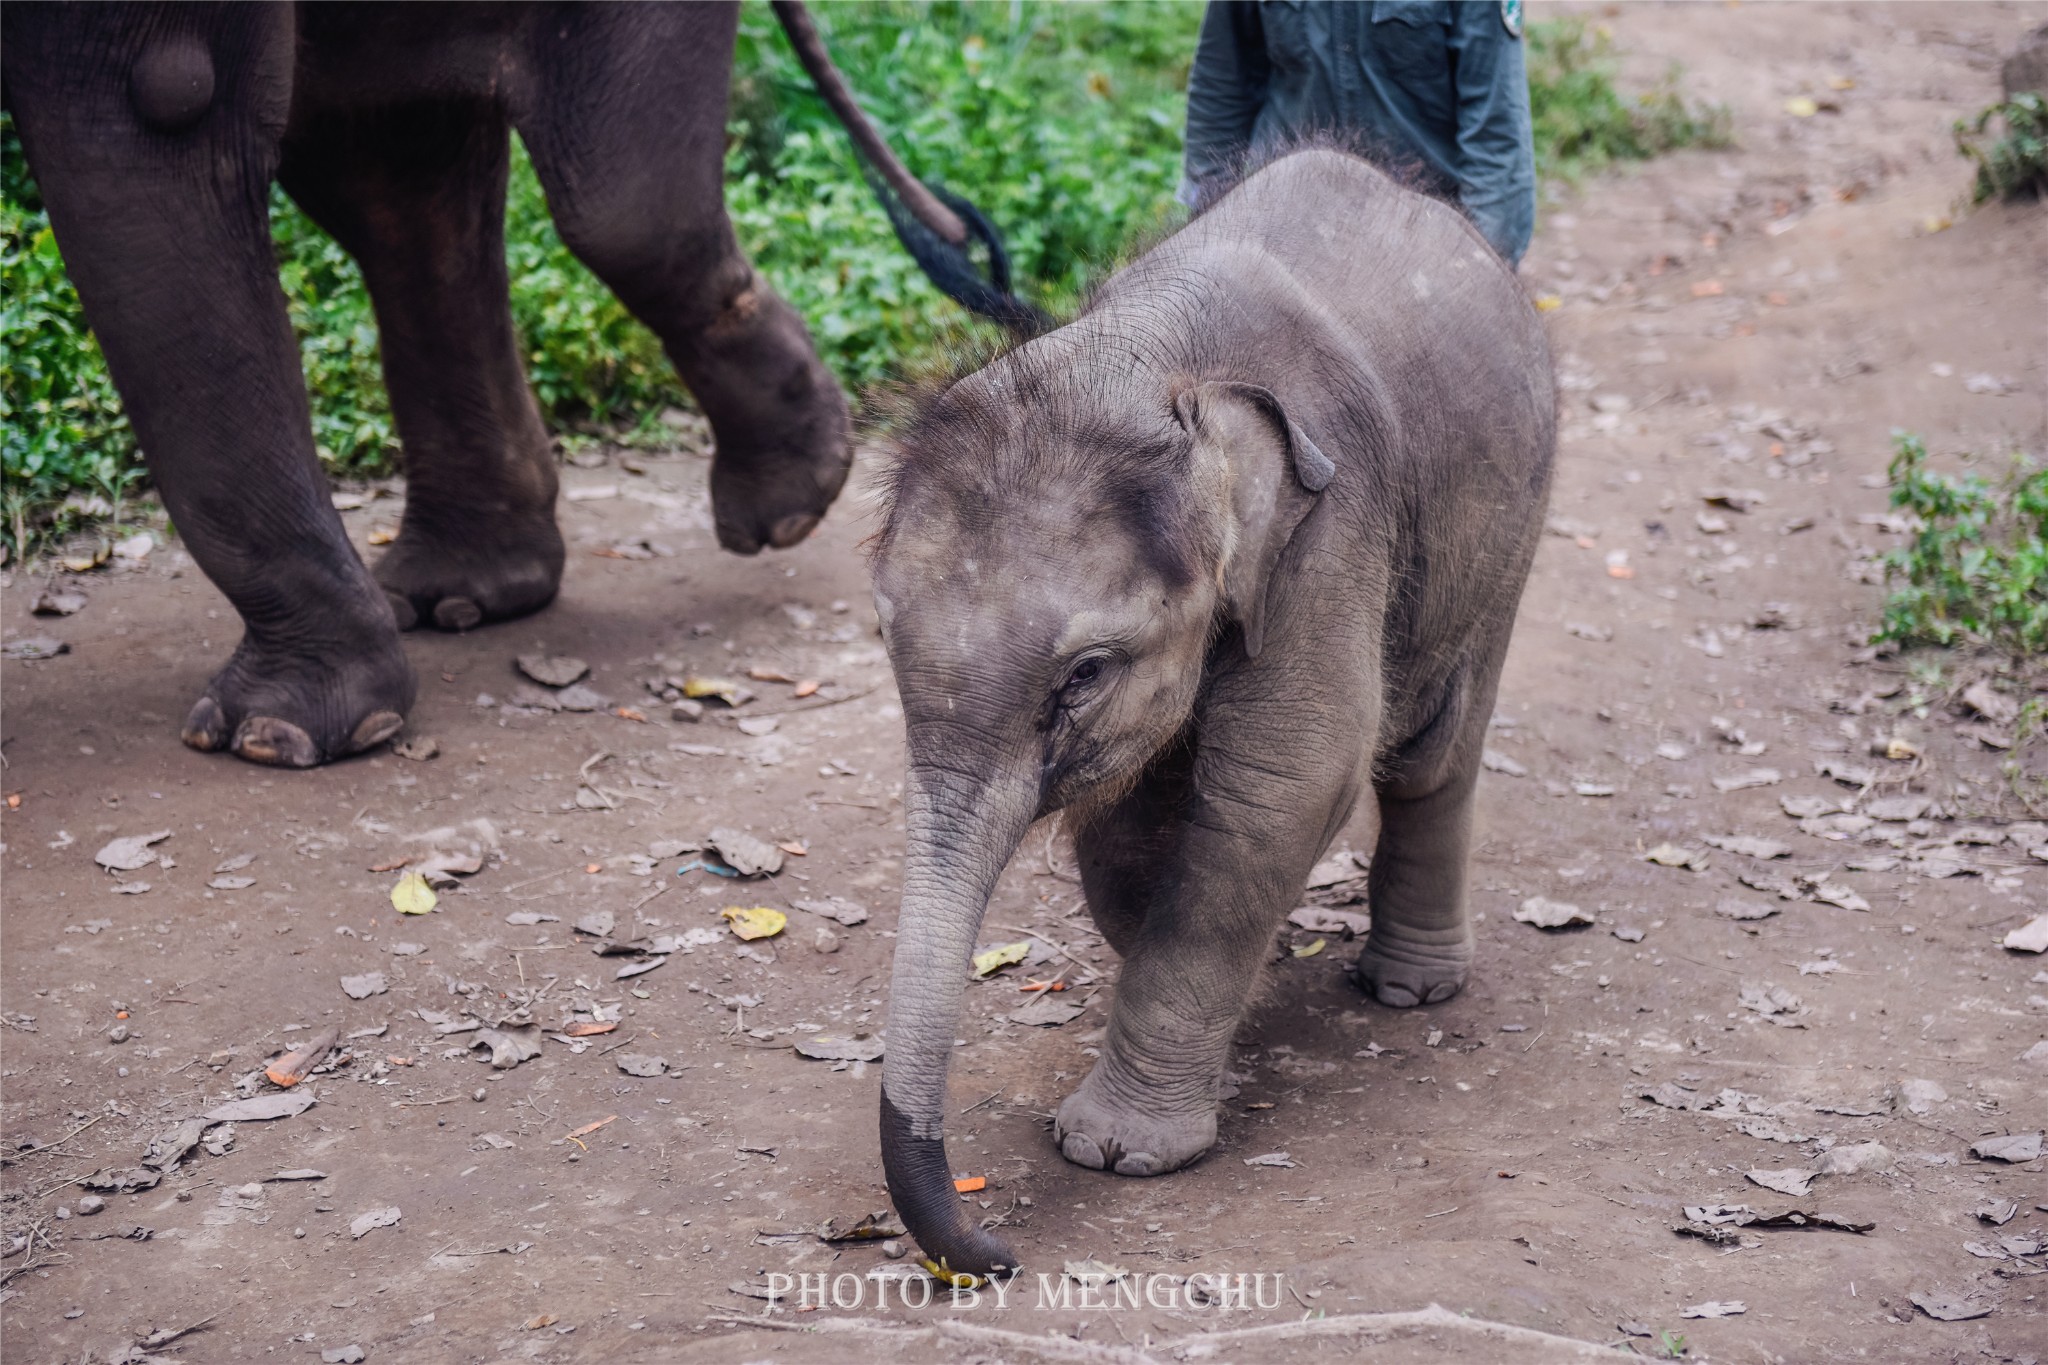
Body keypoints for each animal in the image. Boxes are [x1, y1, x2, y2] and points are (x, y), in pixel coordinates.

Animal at [0, 0, 1024, 769]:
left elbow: (163, 100)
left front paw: (274, 737)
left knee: (617, 205)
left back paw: (783, 506)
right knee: (391, 166)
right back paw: (464, 598)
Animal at [864, 144, 1548, 1277]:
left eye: (1083, 674)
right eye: (882, 636)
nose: (995, 1247)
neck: (1147, 364)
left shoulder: (1328, 535)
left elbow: (1285, 785)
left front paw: (1115, 1150)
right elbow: (1130, 836)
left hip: (1507, 525)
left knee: (1430, 752)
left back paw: (1410, 991)